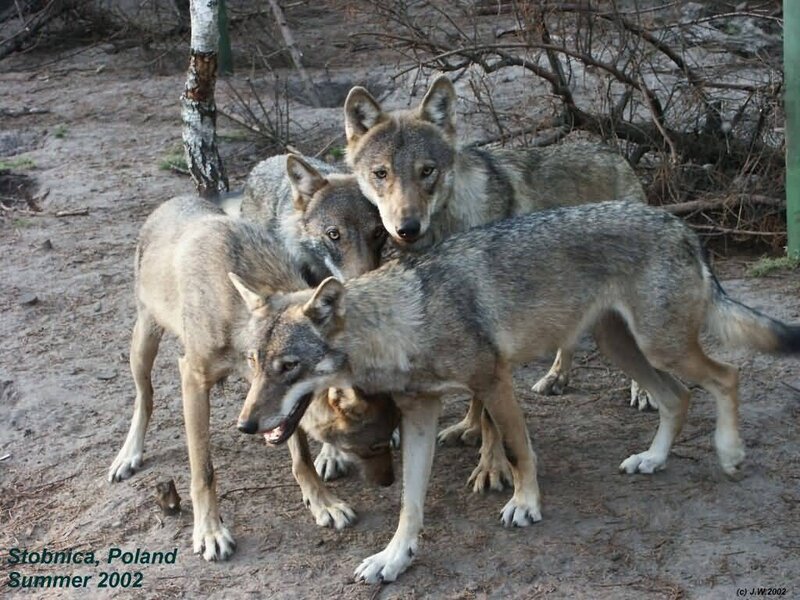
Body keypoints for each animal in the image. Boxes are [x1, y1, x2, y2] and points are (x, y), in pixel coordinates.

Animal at [107, 195, 398, 561]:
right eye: (256, 359)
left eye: (288, 366)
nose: (245, 426)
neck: (232, 312)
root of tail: (176, 200)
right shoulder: (192, 377)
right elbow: (203, 470)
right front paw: (210, 531)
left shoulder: (272, 404)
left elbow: (302, 458)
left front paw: (323, 503)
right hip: (144, 344)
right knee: (144, 398)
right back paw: (128, 455)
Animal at [231, 201, 800, 583]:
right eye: (255, 364)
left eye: (288, 367)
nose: (246, 425)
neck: (404, 320)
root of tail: (681, 224)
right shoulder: (420, 415)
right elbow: (410, 503)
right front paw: (394, 558)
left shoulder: (494, 383)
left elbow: (520, 450)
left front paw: (526, 504)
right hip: (624, 348)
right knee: (678, 398)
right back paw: (654, 459)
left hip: (661, 348)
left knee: (727, 376)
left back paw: (730, 453)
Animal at [343, 76, 654, 445]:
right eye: (381, 173)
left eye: (427, 171)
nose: (407, 228)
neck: (449, 223)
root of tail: (612, 151)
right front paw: (469, 427)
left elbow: (481, 393)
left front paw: (473, 430)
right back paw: (556, 377)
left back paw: (644, 391)